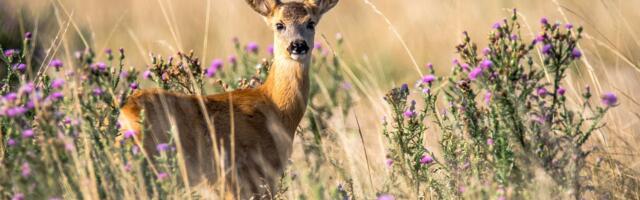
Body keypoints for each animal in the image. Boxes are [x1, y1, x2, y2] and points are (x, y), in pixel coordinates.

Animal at [119, 0, 340, 197]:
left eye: (311, 23)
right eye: (279, 24)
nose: (298, 45)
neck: (275, 108)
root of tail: (124, 114)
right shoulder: (248, 178)